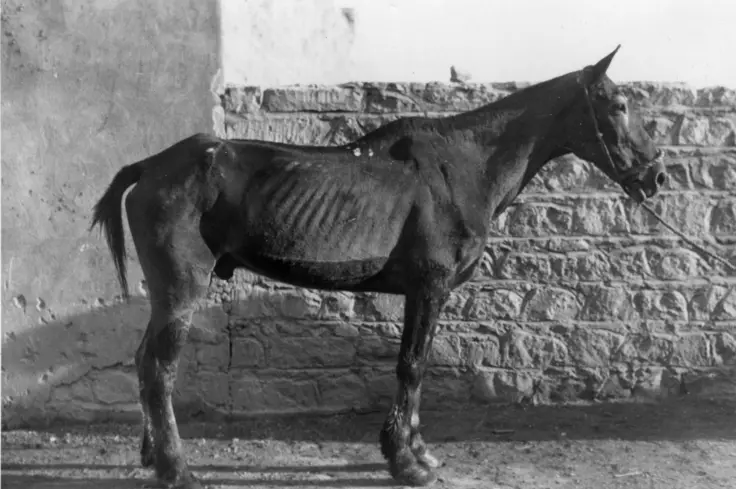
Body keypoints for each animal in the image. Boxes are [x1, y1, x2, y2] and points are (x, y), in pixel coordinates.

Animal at [90, 46, 667, 488]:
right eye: (618, 104)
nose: (657, 176)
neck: (461, 166)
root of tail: (151, 166)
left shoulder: (425, 293)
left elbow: (417, 365)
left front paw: (417, 450)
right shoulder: (430, 287)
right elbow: (411, 366)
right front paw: (406, 461)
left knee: (145, 361)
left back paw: (153, 455)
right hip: (182, 288)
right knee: (159, 369)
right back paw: (177, 469)